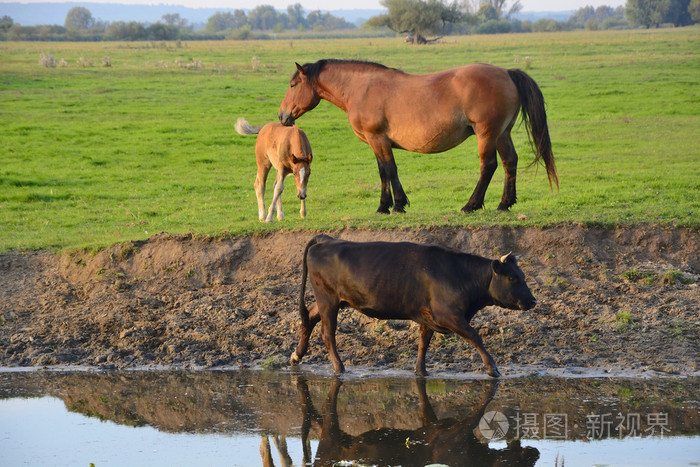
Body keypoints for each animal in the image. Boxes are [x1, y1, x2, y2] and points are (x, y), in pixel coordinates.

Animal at [278, 59, 556, 215]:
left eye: (292, 86)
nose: (282, 116)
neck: (361, 88)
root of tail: (507, 73)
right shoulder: (377, 143)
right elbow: (383, 172)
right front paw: (386, 206)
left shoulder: (378, 139)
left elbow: (389, 170)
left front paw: (396, 205)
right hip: (502, 134)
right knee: (510, 162)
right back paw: (504, 204)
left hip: (486, 134)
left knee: (488, 166)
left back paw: (471, 205)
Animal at [290, 236, 536, 378]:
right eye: (513, 278)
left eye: (522, 275)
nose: (533, 301)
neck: (459, 274)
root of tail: (327, 240)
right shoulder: (449, 315)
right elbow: (475, 337)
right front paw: (492, 368)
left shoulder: (428, 316)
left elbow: (423, 343)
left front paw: (421, 370)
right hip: (328, 299)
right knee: (327, 334)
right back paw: (339, 368)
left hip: (331, 300)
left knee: (309, 317)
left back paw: (297, 355)